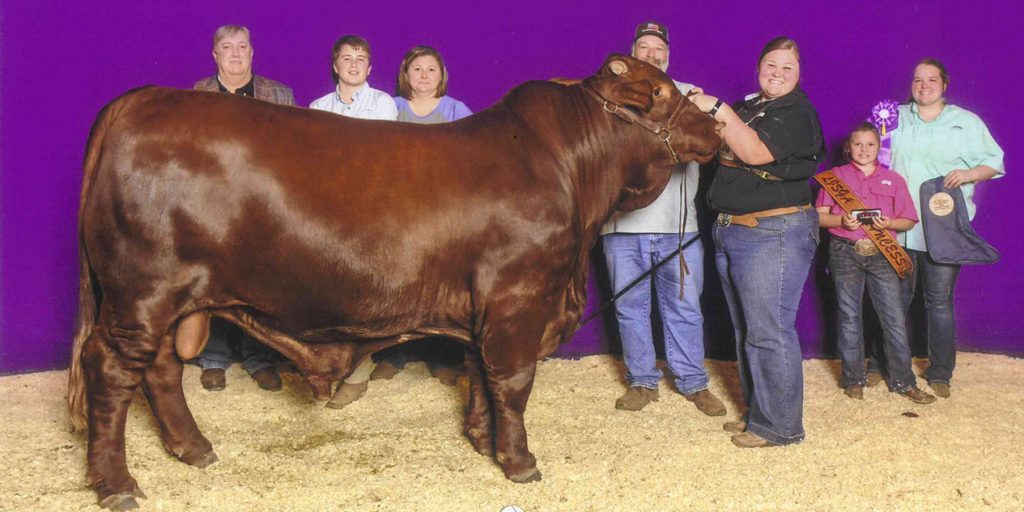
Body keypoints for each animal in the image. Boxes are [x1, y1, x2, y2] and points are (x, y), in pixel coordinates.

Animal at [66, 54, 720, 509]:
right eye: (662, 91)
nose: (715, 127)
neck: (568, 169)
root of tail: (138, 101)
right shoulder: (517, 297)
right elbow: (512, 382)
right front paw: (519, 461)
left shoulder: (482, 304)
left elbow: (479, 373)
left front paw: (480, 439)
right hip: (142, 291)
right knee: (112, 370)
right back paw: (117, 484)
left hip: (165, 299)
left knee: (159, 370)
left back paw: (195, 449)